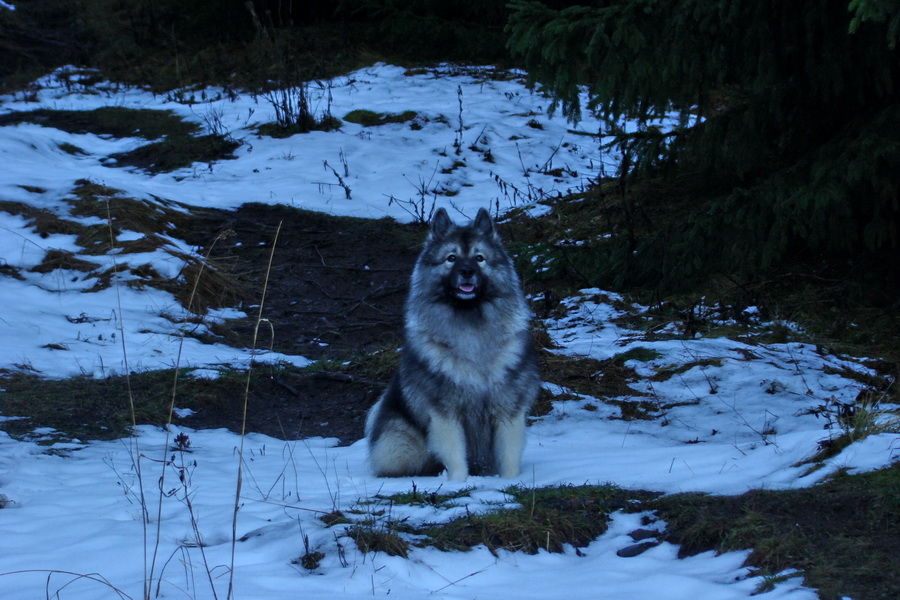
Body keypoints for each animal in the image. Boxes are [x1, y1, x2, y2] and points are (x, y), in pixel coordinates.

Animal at [364, 209, 536, 480]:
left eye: (479, 258)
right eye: (451, 258)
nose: (466, 271)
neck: (471, 326)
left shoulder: (507, 411)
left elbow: (509, 456)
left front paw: (510, 482)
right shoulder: (445, 414)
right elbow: (455, 456)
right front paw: (458, 483)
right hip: (400, 449)